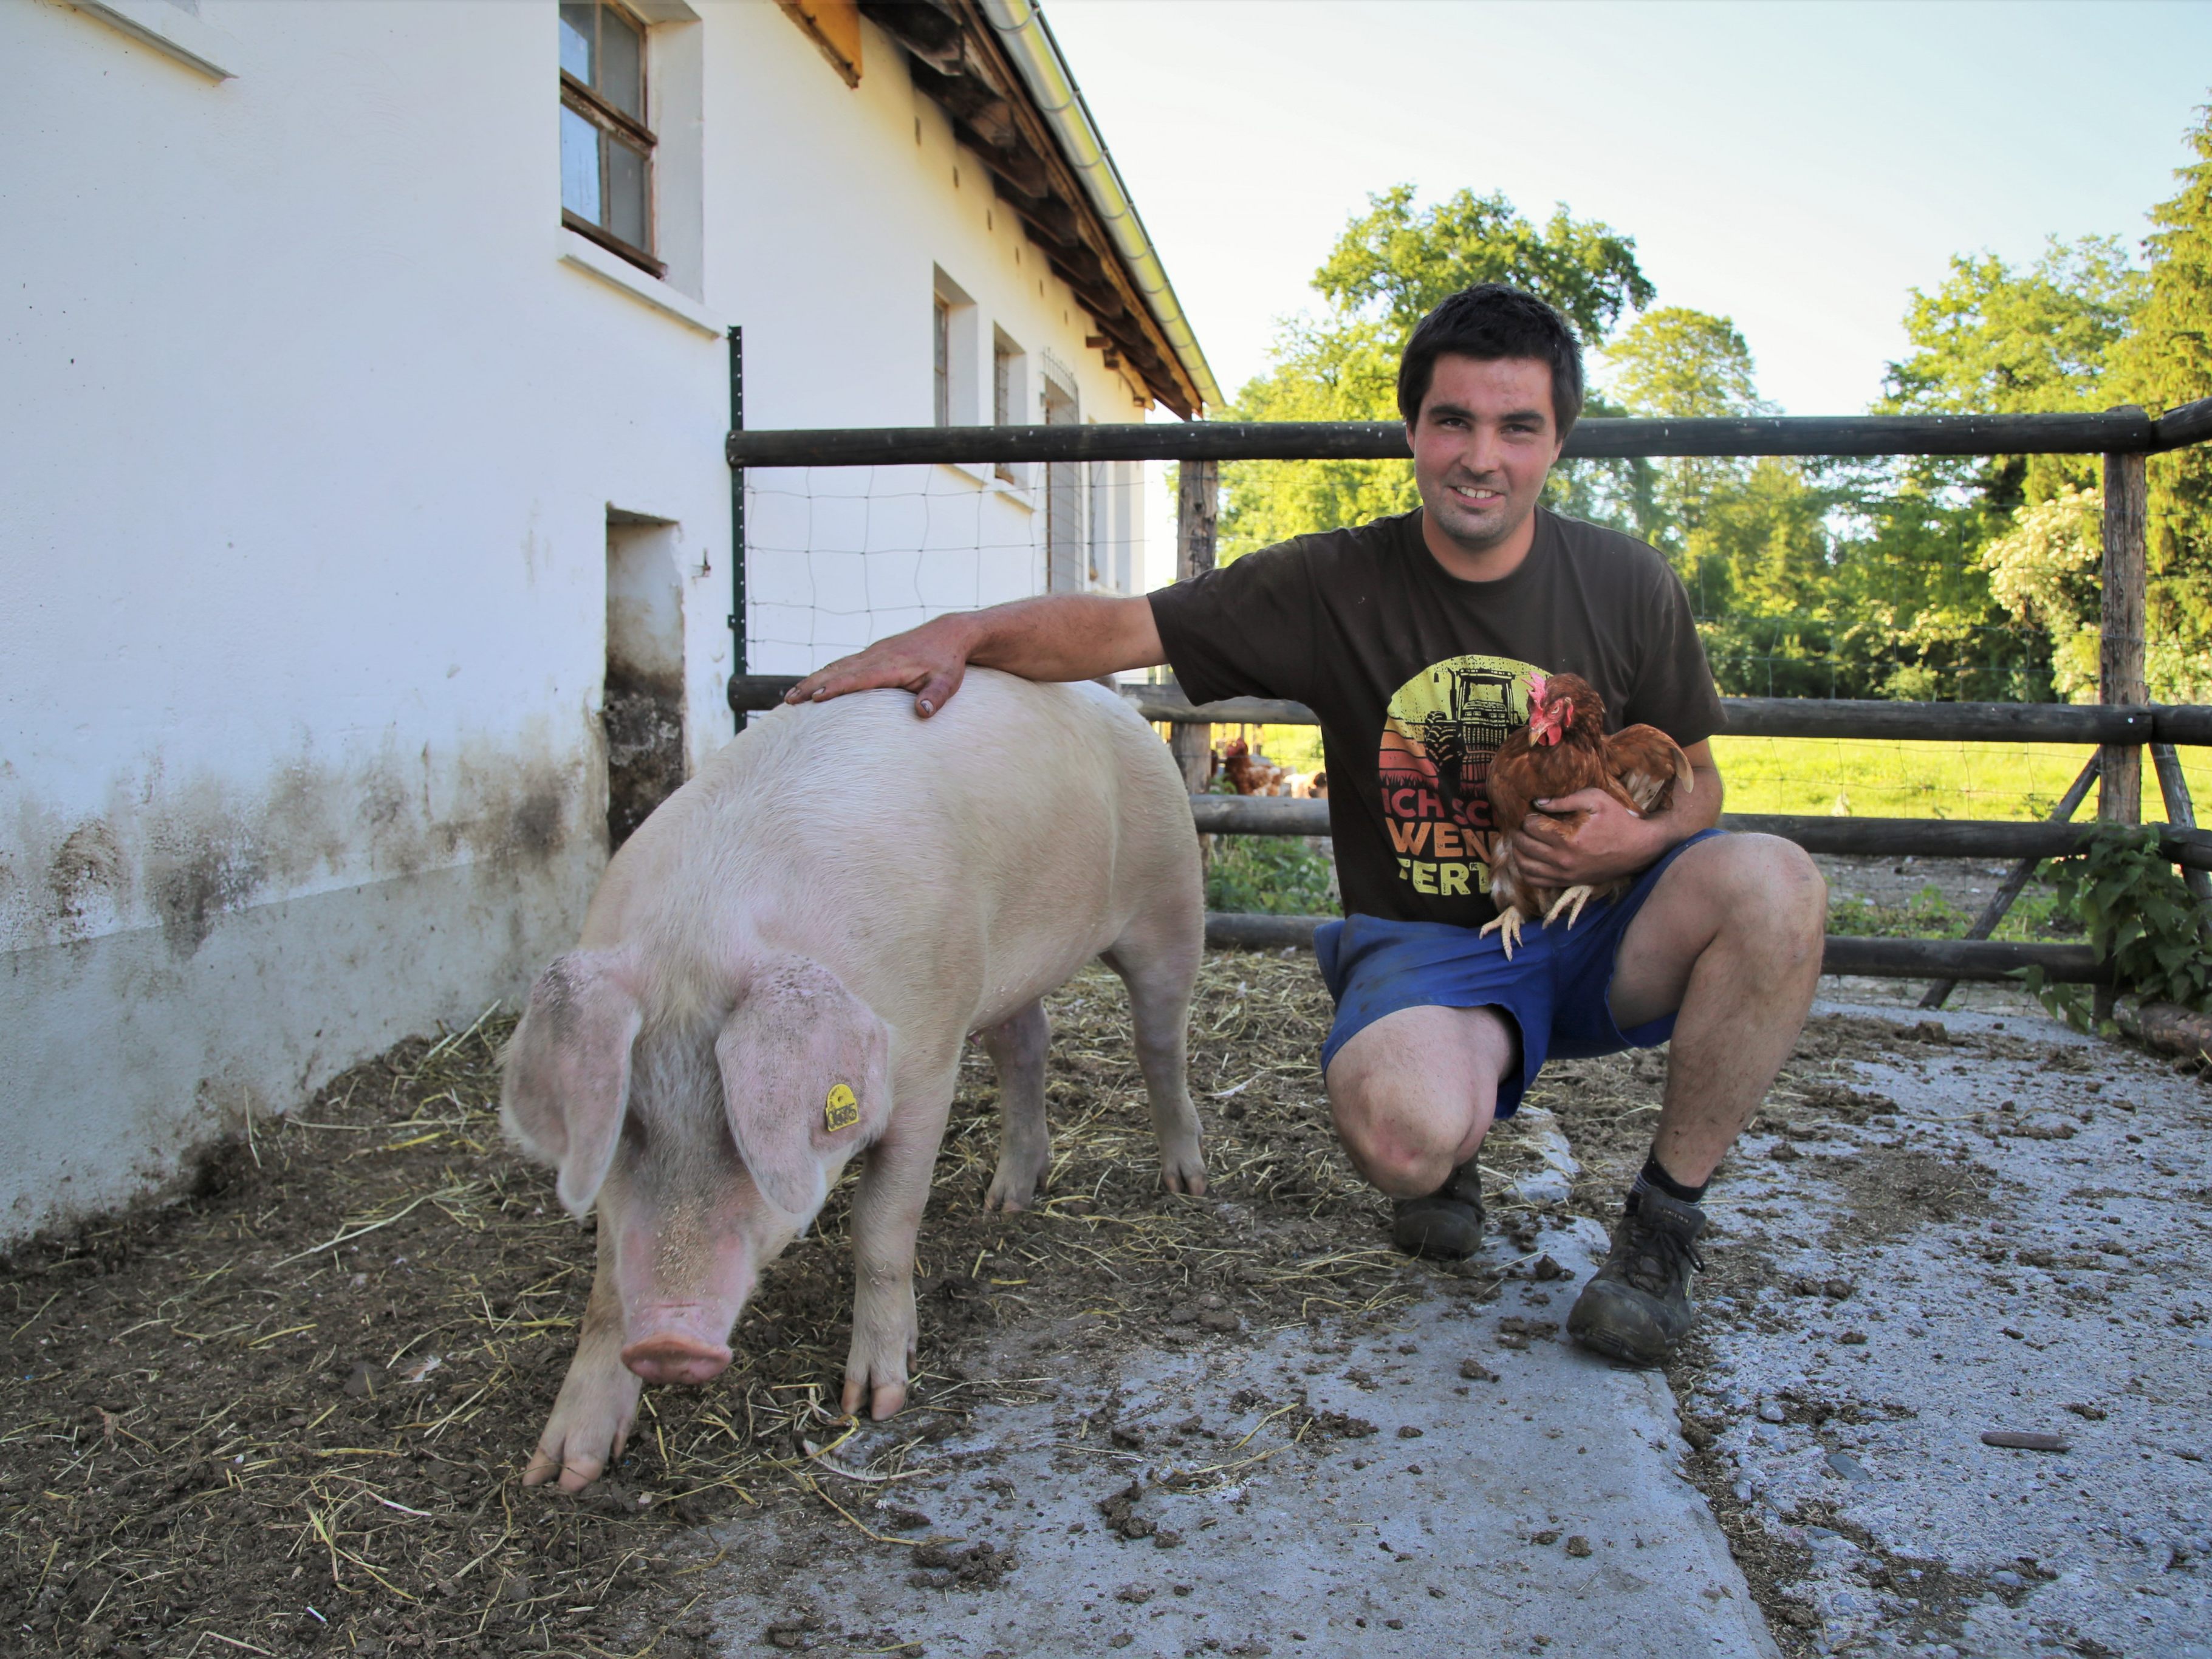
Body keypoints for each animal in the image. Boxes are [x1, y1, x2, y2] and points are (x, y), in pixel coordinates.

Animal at [498, 672, 1212, 1495]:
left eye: (738, 1129)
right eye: (630, 1127)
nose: (670, 1346)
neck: (699, 935)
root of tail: (1121, 707)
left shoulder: (928, 1061)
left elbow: (881, 1224)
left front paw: (872, 1402)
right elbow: (607, 1286)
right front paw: (558, 1472)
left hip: (1170, 896)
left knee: (1159, 1042)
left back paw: (1186, 1184)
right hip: (1006, 970)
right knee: (1025, 1043)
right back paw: (1004, 1202)